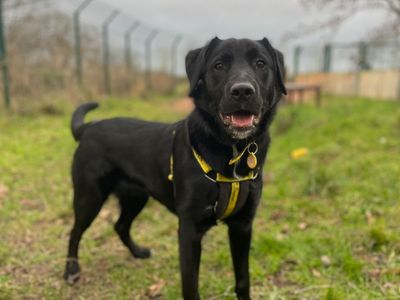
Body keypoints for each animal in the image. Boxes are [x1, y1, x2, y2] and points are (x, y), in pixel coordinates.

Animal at [64, 38, 286, 300]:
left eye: (260, 63)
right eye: (219, 65)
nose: (242, 91)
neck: (232, 150)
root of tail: (88, 128)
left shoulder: (242, 226)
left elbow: (243, 280)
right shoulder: (189, 230)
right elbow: (190, 286)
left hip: (135, 197)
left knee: (120, 225)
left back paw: (138, 252)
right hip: (89, 198)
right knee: (75, 232)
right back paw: (71, 270)